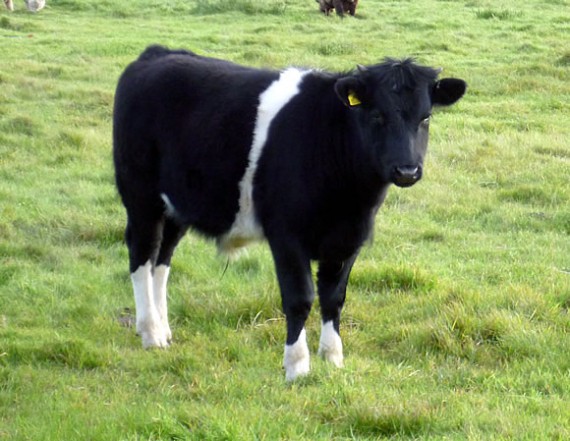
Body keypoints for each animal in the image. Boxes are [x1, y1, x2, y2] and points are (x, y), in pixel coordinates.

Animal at [113, 45, 464, 382]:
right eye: (377, 115)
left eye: (425, 117)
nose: (407, 170)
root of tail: (158, 54)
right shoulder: (287, 236)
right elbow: (300, 298)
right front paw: (297, 366)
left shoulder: (350, 238)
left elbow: (334, 297)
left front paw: (333, 357)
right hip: (141, 197)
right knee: (142, 254)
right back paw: (151, 332)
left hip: (176, 206)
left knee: (162, 259)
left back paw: (164, 328)